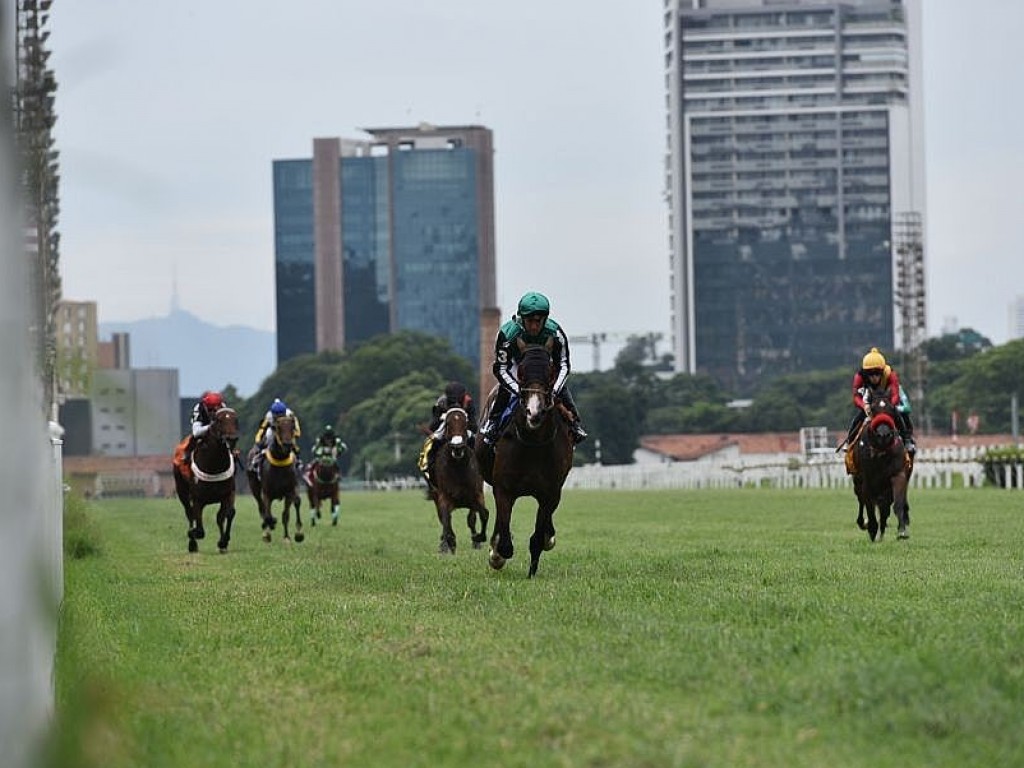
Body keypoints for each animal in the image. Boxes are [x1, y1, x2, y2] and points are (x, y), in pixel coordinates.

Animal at [174, 409, 243, 552]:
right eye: (218, 420)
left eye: (236, 420)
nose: (231, 439)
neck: (214, 466)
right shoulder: (197, 499)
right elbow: (199, 529)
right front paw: (192, 534)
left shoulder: (228, 493)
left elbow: (226, 515)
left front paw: (223, 542)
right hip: (182, 492)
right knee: (189, 513)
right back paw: (192, 543)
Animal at [246, 415, 305, 548]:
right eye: (277, 428)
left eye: (292, 427)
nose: (288, 444)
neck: (280, 462)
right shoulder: (267, 493)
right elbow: (267, 514)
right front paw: (269, 530)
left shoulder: (290, 491)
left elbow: (286, 514)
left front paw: (289, 537)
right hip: (254, 488)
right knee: (262, 508)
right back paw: (267, 529)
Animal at [423, 405, 487, 557]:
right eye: (447, 424)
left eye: (465, 423)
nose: (457, 447)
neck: (459, 468)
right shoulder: (443, 496)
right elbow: (446, 519)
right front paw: (449, 544)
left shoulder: (477, 494)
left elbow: (474, 518)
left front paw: (477, 541)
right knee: (443, 519)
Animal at [473, 342, 573, 577]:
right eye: (520, 373)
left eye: (550, 372)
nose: (533, 412)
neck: (533, 443)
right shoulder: (503, 489)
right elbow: (505, 540)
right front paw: (496, 555)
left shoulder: (550, 492)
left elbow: (537, 538)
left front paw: (532, 571)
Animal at [847, 387, 913, 544]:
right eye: (873, 409)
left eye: (891, 409)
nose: (883, 435)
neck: (881, 451)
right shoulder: (867, 478)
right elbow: (869, 505)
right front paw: (872, 528)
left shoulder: (898, 474)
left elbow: (897, 503)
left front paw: (902, 531)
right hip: (857, 480)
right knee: (861, 500)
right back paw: (864, 523)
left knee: (884, 506)